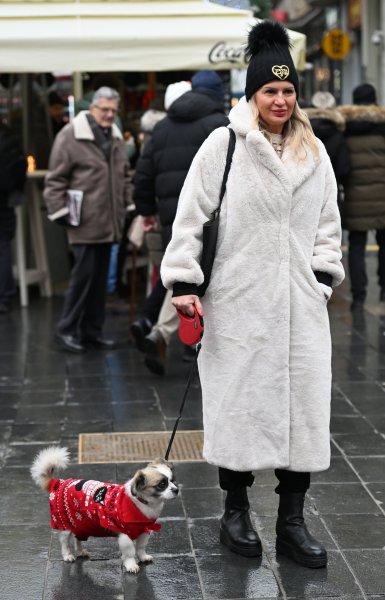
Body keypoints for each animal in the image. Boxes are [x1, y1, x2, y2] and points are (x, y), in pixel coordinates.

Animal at [31, 448, 178, 576]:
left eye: (173, 481)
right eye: (162, 484)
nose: (176, 489)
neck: (143, 503)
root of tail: (57, 483)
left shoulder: (144, 530)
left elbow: (141, 547)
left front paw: (142, 557)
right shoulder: (124, 535)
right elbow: (130, 552)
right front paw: (131, 565)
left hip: (81, 523)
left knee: (77, 538)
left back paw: (80, 551)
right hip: (65, 523)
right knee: (65, 542)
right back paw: (68, 555)